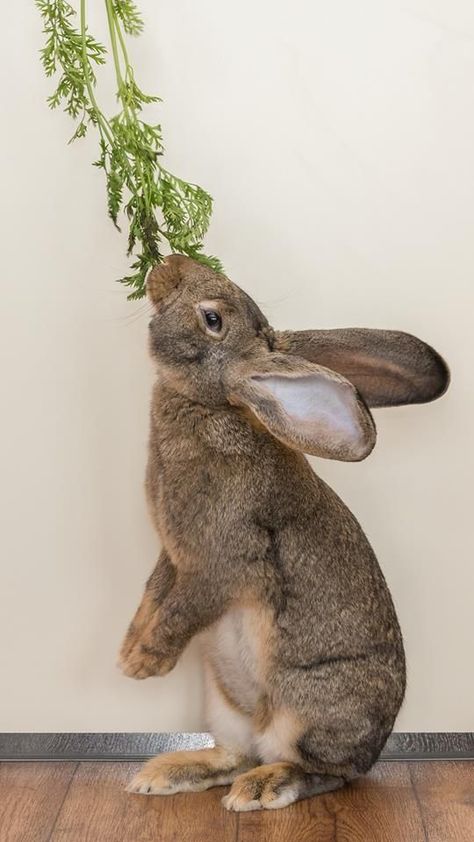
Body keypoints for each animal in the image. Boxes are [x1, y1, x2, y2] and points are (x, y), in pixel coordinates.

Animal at [117, 254, 448, 808]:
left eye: (211, 319)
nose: (172, 262)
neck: (215, 407)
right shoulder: (173, 555)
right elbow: (154, 594)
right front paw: (128, 651)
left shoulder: (221, 564)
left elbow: (182, 608)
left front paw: (145, 663)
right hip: (223, 703)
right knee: (237, 754)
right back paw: (166, 772)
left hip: (305, 709)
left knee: (325, 771)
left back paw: (263, 788)